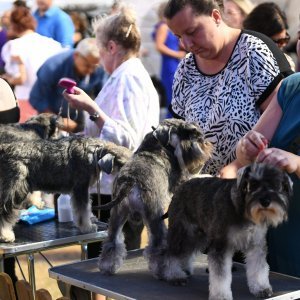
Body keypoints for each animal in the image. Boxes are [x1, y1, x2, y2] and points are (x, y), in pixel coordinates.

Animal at [0, 136, 132, 241]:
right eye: (124, 165)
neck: (94, 152)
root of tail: (3, 148)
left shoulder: (82, 191)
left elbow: (86, 207)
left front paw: (91, 219)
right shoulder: (80, 188)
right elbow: (82, 210)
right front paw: (87, 227)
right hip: (14, 190)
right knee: (5, 210)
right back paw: (5, 235)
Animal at [97, 118, 212, 278]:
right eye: (190, 133)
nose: (204, 143)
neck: (159, 144)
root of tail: (130, 181)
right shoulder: (180, 181)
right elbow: (194, 177)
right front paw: (207, 175)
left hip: (117, 215)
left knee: (111, 242)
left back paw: (107, 267)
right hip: (154, 216)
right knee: (157, 246)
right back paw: (163, 271)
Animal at [163, 163, 292, 300]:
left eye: (276, 185)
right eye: (253, 184)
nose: (265, 201)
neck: (242, 209)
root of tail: (183, 184)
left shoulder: (256, 245)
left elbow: (259, 268)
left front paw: (261, 288)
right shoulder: (221, 246)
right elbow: (220, 276)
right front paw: (221, 295)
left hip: (198, 236)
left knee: (187, 252)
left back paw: (185, 269)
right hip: (182, 233)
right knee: (172, 254)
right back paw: (175, 275)